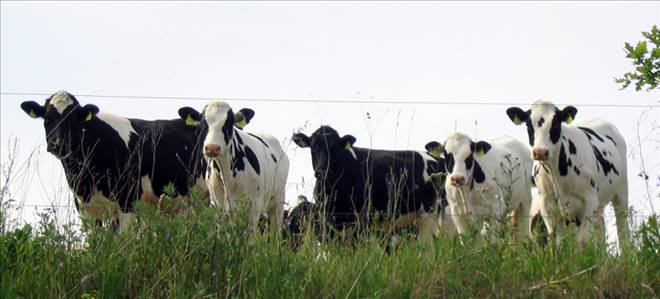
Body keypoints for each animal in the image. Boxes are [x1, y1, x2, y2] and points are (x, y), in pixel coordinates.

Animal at [177, 101, 288, 232]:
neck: (227, 176)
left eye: (228, 124)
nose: (212, 148)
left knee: (276, 230)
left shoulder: (254, 205)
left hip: (278, 200)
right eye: (203, 123)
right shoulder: (217, 206)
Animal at [292, 125, 446, 241]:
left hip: (429, 216)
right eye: (313, 147)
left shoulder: (360, 222)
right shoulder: (327, 222)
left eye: (335, 148)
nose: (322, 171)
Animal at [508, 99, 632, 247]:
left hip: (621, 191)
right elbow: (556, 241)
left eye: (556, 123)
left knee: (623, 229)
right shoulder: (547, 205)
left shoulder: (590, 200)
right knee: (600, 228)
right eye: (528, 125)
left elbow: (582, 240)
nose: (540, 152)